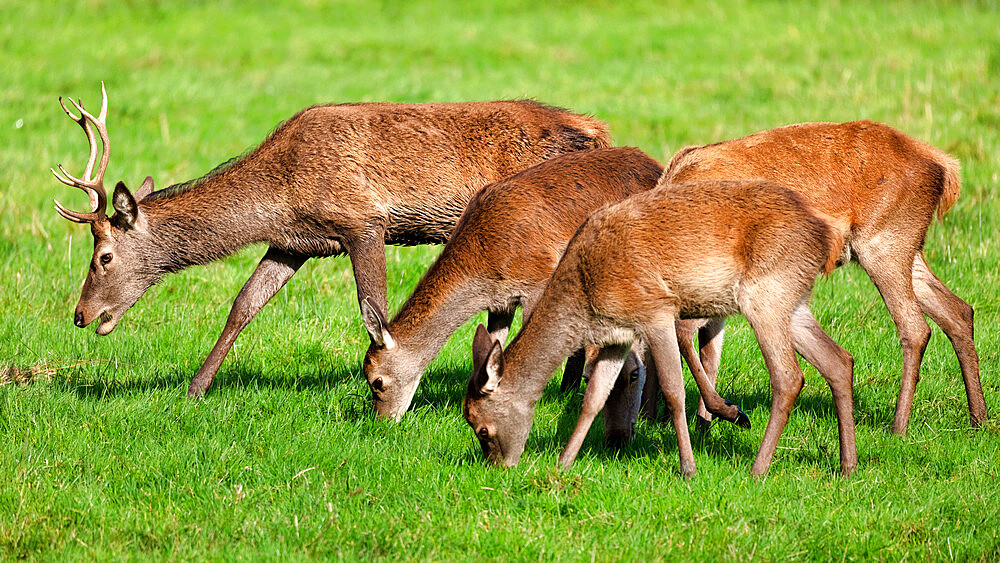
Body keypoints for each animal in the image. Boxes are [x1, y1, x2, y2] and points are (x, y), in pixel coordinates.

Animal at [50, 86, 608, 398]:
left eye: (103, 257)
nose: (79, 314)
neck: (280, 195)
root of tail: (599, 129)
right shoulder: (294, 244)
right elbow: (244, 304)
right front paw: (195, 389)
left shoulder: (363, 220)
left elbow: (373, 307)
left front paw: (376, 382)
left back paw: (565, 387)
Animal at [360, 147, 752, 432]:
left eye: (377, 381)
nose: (382, 425)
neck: (484, 263)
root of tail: (660, 167)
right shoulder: (500, 300)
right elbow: (493, 342)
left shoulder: (537, 280)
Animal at [464, 180, 856, 476]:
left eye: (481, 428)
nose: (499, 468)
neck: (586, 295)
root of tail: (825, 235)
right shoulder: (616, 337)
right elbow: (593, 399)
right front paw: (563, 464)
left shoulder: (655, 311)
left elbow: (673, 390)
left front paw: (689, 468)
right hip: (793, 299)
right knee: (839, 360)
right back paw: (847, 466)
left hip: (765, 295)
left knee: (789, 377)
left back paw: (757, 468)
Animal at [652, 121, 988, 434]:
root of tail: (944, 166)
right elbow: (709, 350)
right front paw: (706, 424)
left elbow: (686, 337)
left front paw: (729, 414)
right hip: (908, 246)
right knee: (957, 310)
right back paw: (979, 418)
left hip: (883, 242)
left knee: (915, 327)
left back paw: (898, 427)